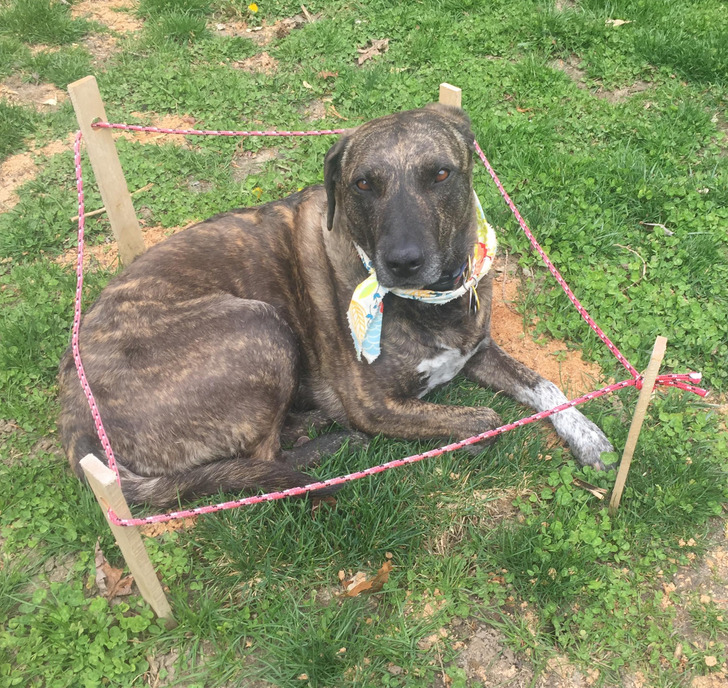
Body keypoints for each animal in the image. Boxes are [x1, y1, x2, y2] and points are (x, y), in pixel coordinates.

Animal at [58, 105, 616, 508]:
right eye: (362, 183)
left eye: (440, 174)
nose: (402, 262)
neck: (433, 299)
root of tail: (73, 410)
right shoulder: (374, 404)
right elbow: (482, 420)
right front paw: (469, 435)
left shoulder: (475, 350)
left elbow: (545, 385)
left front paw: (587, 435)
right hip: (260, 325)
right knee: (265, 457)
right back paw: (332, 446)